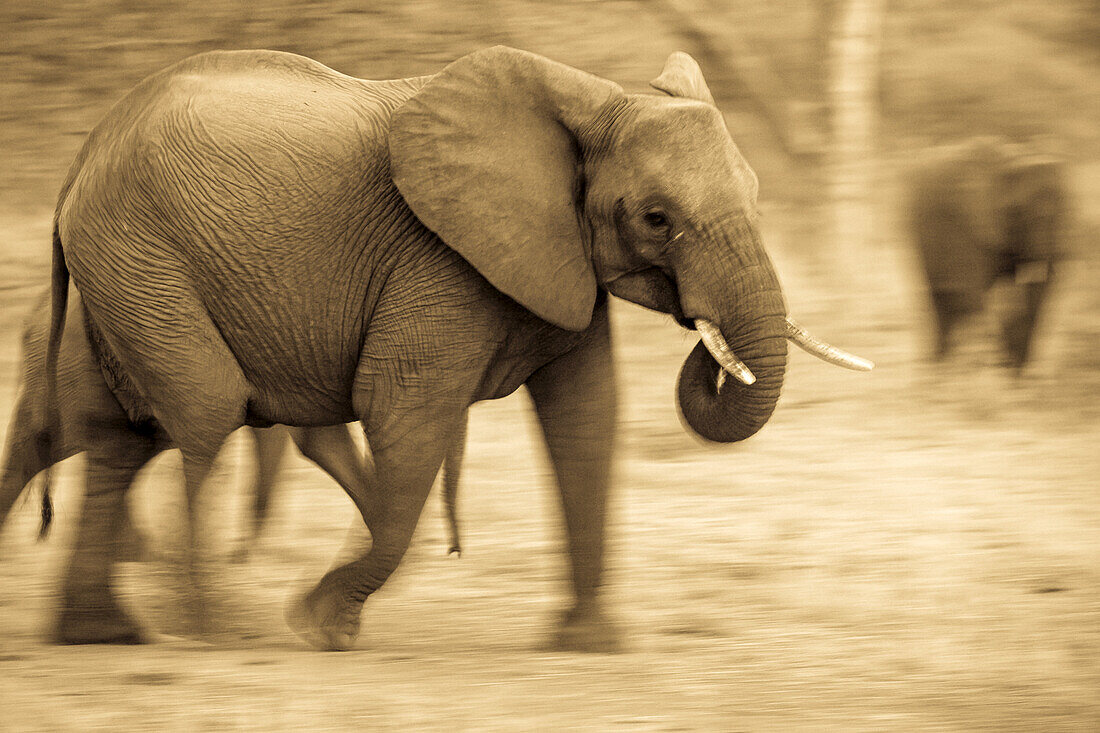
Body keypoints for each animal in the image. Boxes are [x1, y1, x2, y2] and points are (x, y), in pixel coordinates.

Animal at [6, 47, 866, 651]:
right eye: (657, 219)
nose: (701, 329)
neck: (588, 94)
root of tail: (82, 155)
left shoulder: (552, 253)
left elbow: (587, 417)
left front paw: (589, 645)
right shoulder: (437, 257)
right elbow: (403, 410)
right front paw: (318, 625)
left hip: (119, 275)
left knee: (119, 437)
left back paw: (103, 634)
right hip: (140, 254)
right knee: (205, 408)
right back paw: (212, 628)